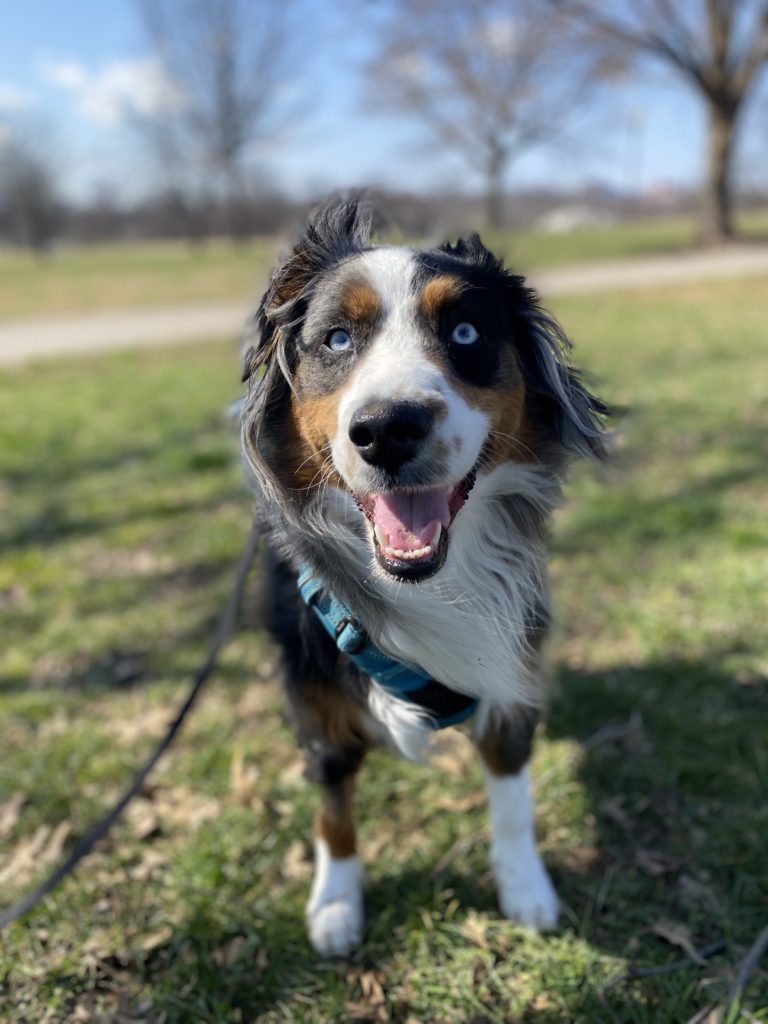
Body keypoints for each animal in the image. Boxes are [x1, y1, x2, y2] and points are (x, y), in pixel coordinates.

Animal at [240, 199, 606, 958]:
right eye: (337, 340)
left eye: (465, 332)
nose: (387, 429)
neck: (429, 583)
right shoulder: (317, 704)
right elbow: (333, 813)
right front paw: (336, 903)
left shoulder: (509, 671)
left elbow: (512, 796)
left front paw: (525, 887)